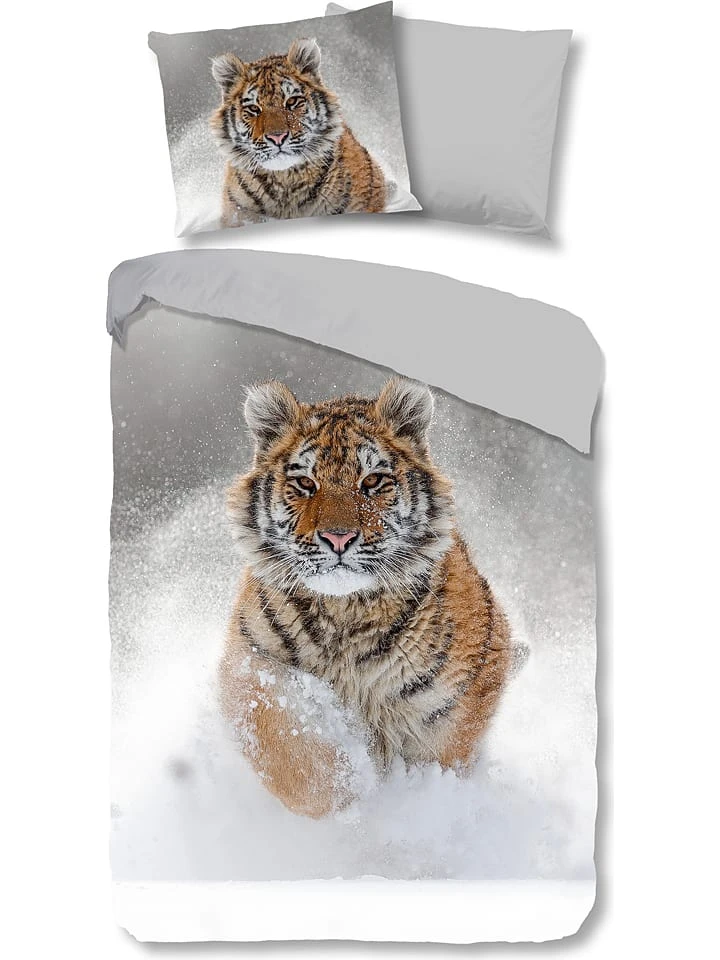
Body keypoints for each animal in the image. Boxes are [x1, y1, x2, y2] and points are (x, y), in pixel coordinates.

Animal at [218, 378, 514, 818]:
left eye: (372, 481)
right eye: (306, 484)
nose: (338, 537)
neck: (346, 614)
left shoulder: (452, 708)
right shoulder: (250, 662)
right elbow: (287, 746)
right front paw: (347, 790)